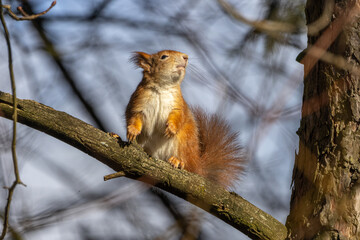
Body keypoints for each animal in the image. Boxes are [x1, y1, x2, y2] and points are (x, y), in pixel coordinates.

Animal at [124, 49, 245, 188]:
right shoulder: (138, 102)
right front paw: (132, 130)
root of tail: (197, 165)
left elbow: (178, 118)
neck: (162, 88)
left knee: (187, 163)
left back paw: (178, 161)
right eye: (164, 57)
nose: (186, 57)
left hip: (185, 141)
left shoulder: (178, 105)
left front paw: (171, 128)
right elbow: (134, 117)